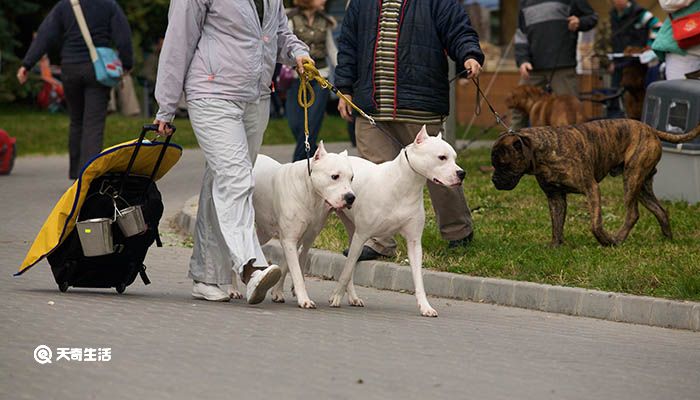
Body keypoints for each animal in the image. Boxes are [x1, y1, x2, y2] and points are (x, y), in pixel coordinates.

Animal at [252, 144, 356, 310]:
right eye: (334, 176)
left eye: (351, 178)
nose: (350, 197)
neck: (310, 193)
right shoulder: (289, 239)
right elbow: (296, 272)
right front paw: (304, 299)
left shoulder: (305, 238)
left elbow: (291, 265)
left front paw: (279, 292)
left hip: (264, 232)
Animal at [332, 126, 464, 318]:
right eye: (442, 157)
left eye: (454, 157)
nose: (462, 173)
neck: (404, 185)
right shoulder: (362, 236)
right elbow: (348, 269)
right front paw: (336, 296)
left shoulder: (414, 242)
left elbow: (419, 279)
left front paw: (425, 306)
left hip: (351, 230)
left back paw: (353, 298)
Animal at [492, 119, 700, 245]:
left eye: (503, 165)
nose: (493, 179)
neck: (543, 152)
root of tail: (649, 129)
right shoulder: (555, 197)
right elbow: (557, 224)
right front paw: (555, 246)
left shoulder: (591, 188)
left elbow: (595, 223)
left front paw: (603, 239)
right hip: (641, 186)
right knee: (660, 210)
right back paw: (668, 240)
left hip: (631, 178)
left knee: (632, 214)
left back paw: (617, 240)